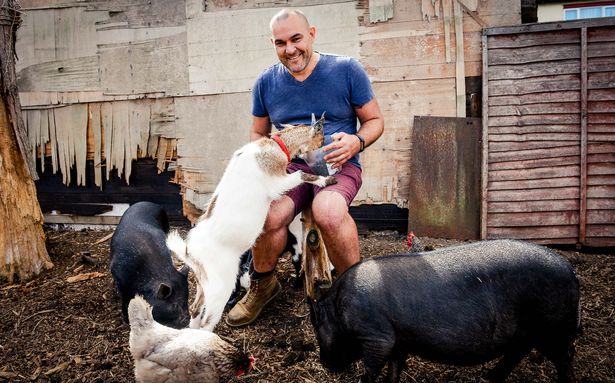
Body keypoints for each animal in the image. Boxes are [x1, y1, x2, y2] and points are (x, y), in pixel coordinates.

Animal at [109, 201, 189, 330]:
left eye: (187, 299)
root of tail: (147, 202)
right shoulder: (120, 280)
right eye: (174, 305)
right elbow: (125, 300)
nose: (187, 321)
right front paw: (126, 320)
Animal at [166, 115, 334, 332]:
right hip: (220, 286)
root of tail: (190, 252)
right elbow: (300, 175)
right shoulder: (277, 183)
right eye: (321, 138)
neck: (274, 146)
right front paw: (327, 180)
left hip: (203, 283)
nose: (323, 149)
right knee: (206, 322)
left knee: (195, 309)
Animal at [310, 240, 580, 383]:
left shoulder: (377, 336)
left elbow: (371, 370)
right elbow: (394, 369)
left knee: (566, 357)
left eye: (317, 328)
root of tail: (571, 272)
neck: (339, 307)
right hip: (529, 332)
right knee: (518, 351)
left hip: (552, 328)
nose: (325, 363)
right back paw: (490, 377)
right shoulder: (399, 339)